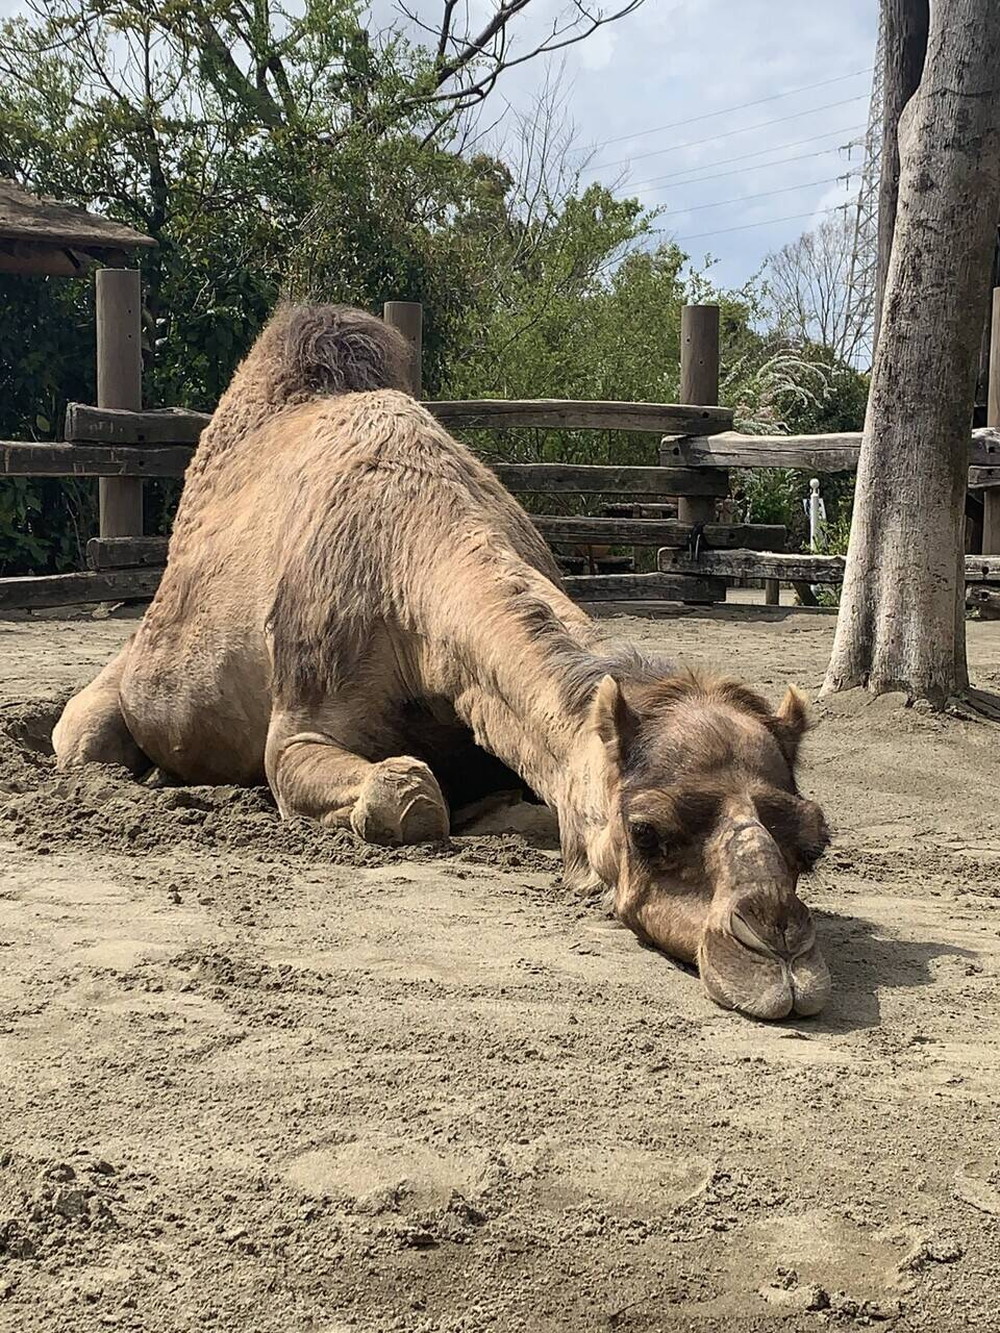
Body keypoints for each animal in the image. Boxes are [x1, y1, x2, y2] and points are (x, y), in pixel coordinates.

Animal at [56, 306, 837, 1023]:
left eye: (815, 839)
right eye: (646, 832)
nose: (779, 950)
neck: (408, 566)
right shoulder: (300, 722)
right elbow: (405, 794)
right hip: (103, 710)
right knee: (88, 741)